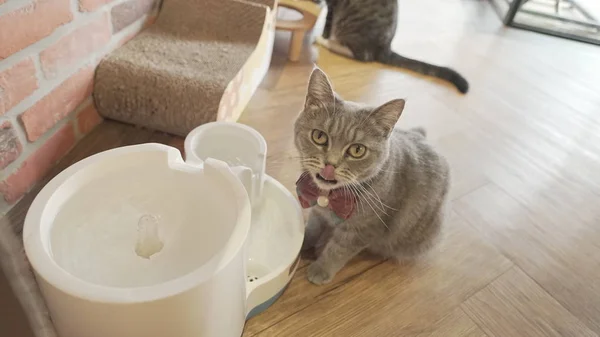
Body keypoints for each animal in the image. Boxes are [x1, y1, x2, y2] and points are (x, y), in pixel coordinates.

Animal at [296, 68, 450, 284]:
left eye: (357, 150)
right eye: (319, 136)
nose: (330, 164)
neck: (330, 197)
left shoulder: (365, 229)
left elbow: (338, 250)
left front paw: (320, 269)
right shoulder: (318, 212)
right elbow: (312, 228)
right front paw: (301, 245)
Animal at [314, 0, 468, 93]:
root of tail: (386, 47)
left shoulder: (333, 5)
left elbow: (328, 22)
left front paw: (323, 35)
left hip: (350, 27)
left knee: (362, 56)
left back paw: (326, 42)